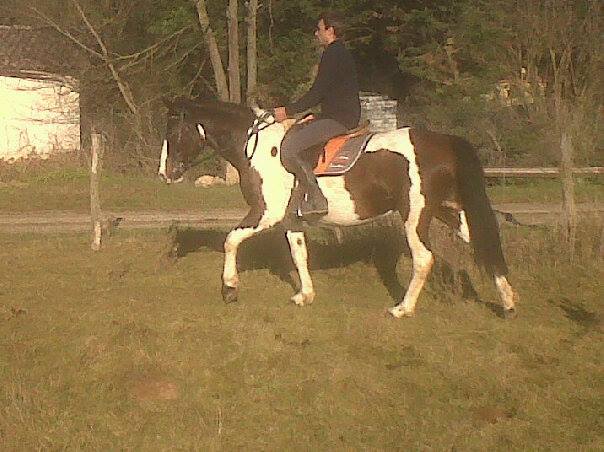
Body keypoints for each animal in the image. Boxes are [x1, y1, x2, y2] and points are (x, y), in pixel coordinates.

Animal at [158, 96, 516, 318]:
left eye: (174, 131)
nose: (164, 173)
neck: (256, 147)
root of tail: (444, 142)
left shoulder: (266, 213)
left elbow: (230, 240)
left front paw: (230, 288)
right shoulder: (291, 220)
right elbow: (299, 255)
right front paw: (305, 295)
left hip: (415, 216)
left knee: (424, 259)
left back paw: (402, 309)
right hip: (448, 210)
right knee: (483, 243)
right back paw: (508, 304)